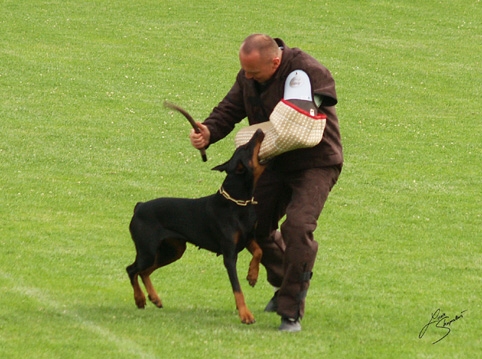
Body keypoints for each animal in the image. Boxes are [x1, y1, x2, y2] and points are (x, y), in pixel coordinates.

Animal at [126, 130, 266, 326]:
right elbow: (237, 288)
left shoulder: (248, 238)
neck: (239, 203)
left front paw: (252, 275)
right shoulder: (229, 255)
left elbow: (259, 251)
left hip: (174, 250)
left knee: (144, 271)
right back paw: (139, 299)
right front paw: (245, 315)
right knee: (132, 270)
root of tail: (139, 206)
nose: (259, 131)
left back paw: (154, 298)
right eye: (246, 147)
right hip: (148, 250)